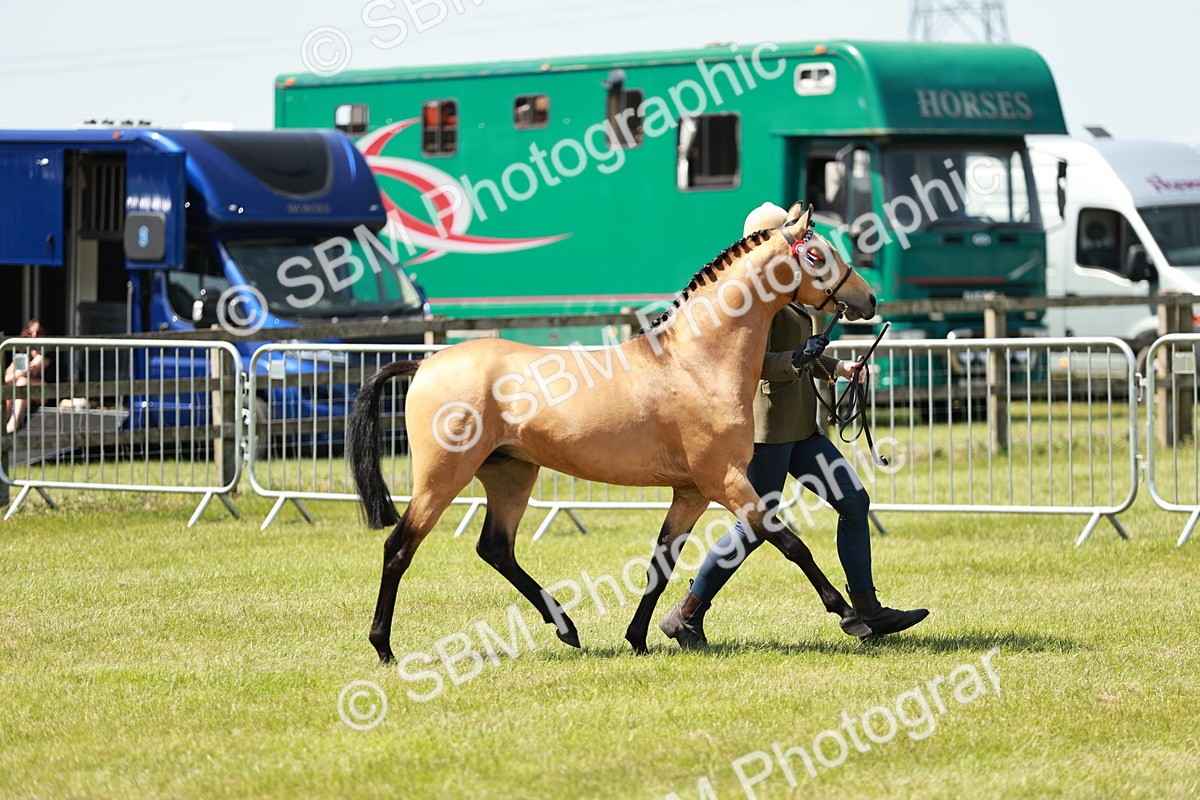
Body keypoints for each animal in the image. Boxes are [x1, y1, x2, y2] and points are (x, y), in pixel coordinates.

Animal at [347, 202, 878, 662]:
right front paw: (851, 616)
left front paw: (638, 637)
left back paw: (565, 627)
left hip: (511, 474)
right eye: (816, 255)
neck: (696, 360)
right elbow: (789, 543)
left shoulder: (691, 492)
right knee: (399, 548)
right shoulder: (724, 480)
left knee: (495, 548)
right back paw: (383, 647)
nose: (868, 298)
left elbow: (661, 564)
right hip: (442, 477)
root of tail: (425, 363)